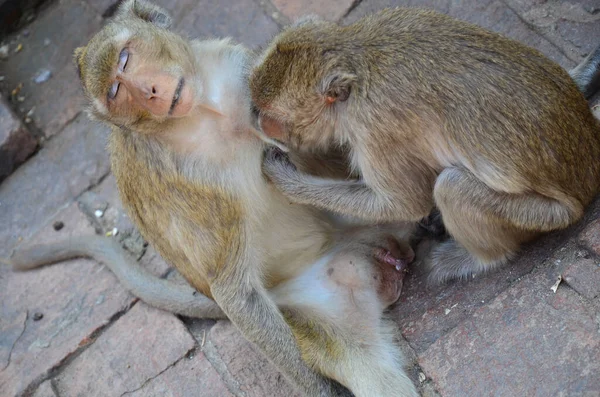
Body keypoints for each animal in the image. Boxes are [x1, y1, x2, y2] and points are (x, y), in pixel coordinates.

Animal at [4, 1, 420, 394]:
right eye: (116, 92)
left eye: (125, 58)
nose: (149, 92)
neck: (205, 113)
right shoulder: (194, 185)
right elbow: (232, 287)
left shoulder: (237, 69)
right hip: (312, 306)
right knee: (370, 370)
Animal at [248, 7, 600, 284]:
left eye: (270, 116)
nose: (254, 119)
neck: (358, 59)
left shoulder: (374, 129)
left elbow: (403, 204)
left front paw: (286, 180)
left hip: (544, 217)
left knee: (452, 185)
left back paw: (480, 259)